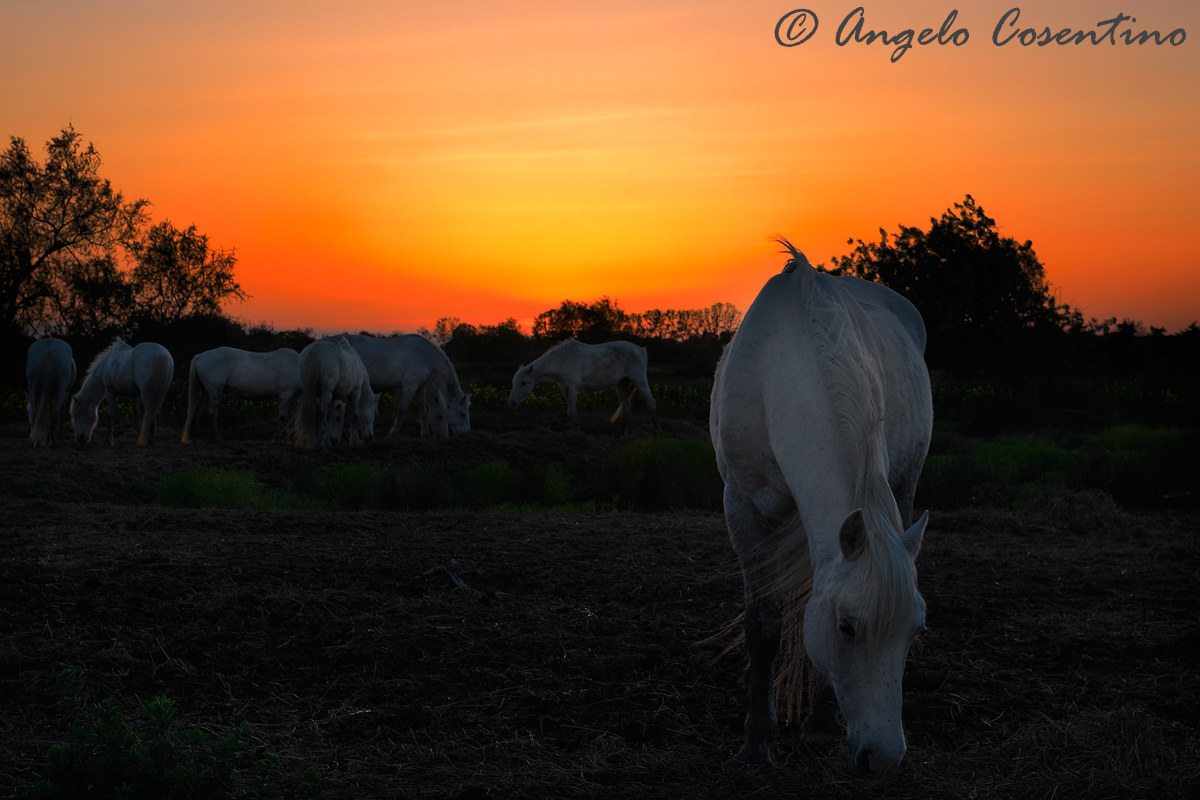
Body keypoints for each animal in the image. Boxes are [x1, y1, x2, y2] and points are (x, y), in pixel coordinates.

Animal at [329, 333, 470, 437]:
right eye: (463, 414)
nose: (465, 434)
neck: (425, 356)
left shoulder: (420, 388)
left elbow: (422, 411)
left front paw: (424, 434)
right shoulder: (409, 386)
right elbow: (402, 409)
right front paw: (393, 431)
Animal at [508, 339, 657, 432]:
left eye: (523, 383)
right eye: (513, 382)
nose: (511, 403)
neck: (561, 360)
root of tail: (640, 350)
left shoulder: (573, 388)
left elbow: (571, 413)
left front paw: (575, 435)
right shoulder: (565, 389)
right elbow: (571, 413)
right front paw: (574, 432)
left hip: (640, 381)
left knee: (650, 403)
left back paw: (655, 433)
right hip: (622, 384)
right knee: (626, 408)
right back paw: (620, 435)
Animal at [709, 239, 932, 778]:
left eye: (915, 630)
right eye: (847, 626)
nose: (883, 759)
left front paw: (820, 724)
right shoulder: (742, 508)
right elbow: (763, 624)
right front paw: (756, 745)